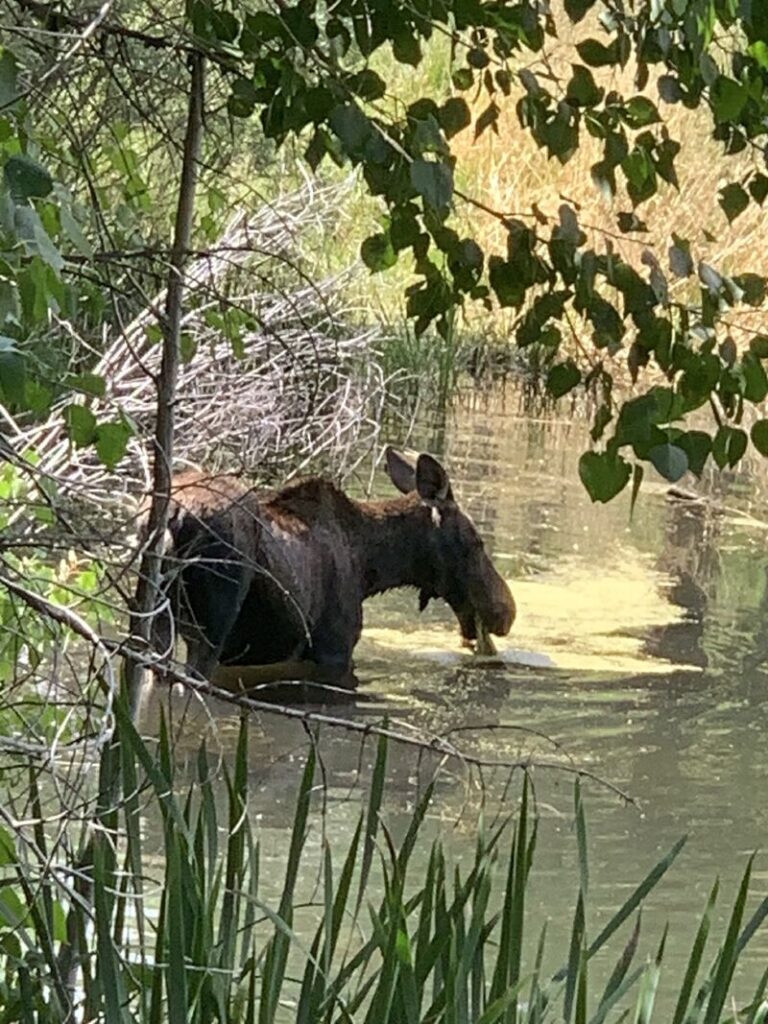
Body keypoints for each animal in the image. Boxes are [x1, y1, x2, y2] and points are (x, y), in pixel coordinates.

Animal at [147, 448, 514, 688]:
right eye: (476, 541)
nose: (506, 611)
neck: (370, 567)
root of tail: (175, 517)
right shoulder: (334, 651)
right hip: (211, 628)